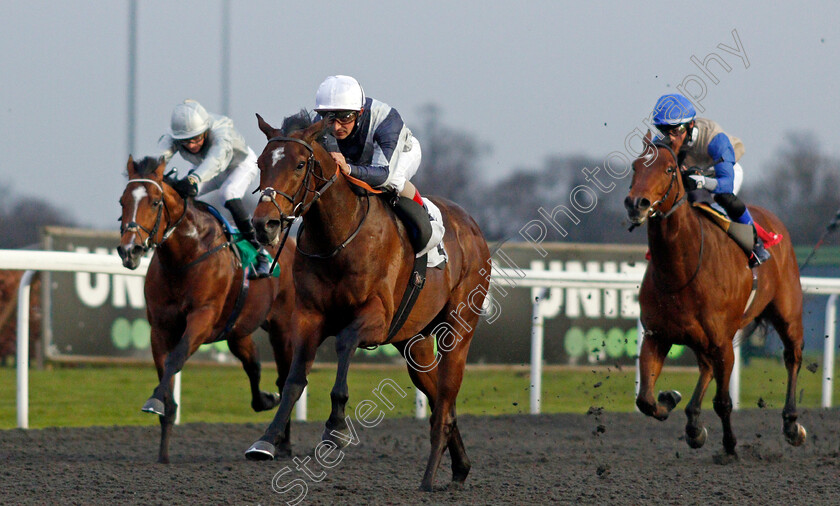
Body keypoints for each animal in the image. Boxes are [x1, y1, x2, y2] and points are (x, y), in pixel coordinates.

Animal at [116, 156, 296, 464]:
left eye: (155, 202)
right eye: (122, 201)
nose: (130, 251)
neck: (185, 256)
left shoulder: (202, 317)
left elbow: (176, 359)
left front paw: (153, 402)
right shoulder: (160, 328)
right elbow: (165, 371)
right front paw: (163, 450)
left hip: (283, 329)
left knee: (287, 378)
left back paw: (283, 444)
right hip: (239, 331)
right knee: (254, 364)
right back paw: (265, 402)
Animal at [246, 113, 488, 490]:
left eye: (300, 164)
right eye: (260, 164)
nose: (264, 224)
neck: (337, 238)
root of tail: (473, 227)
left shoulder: (376, 317)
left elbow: (345, 343)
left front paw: (335, 429)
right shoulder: (308, 317)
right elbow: (293, 380)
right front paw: (267, 439)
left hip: (458, 330)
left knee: (446, 398)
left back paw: (429, 478)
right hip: (415, 342)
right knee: (438, 399)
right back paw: (460, 467)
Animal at [624, 133, 808, 462]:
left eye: (669, 169)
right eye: (635, 166)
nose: (636, 203)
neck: (681, 271)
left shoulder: (723, 342)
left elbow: (723, 402)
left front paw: (730, 446)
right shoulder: (657, 335)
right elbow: (645, 399)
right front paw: (671, 400)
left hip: (787, 313)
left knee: (792, 357)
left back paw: (791, 425)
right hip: (702, 339)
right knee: (706, 368)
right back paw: (692, 420)